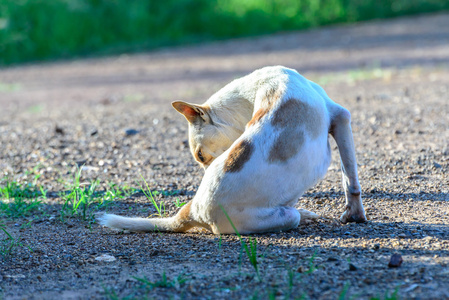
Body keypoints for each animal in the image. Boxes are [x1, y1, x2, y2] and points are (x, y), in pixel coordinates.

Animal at [100, 66, 366, 234]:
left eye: (200, 156)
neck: (257, 87)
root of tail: (194, 211)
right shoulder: (341, 118)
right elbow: (350, 180)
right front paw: (355, 215)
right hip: (281, 218)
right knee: (293, 215)